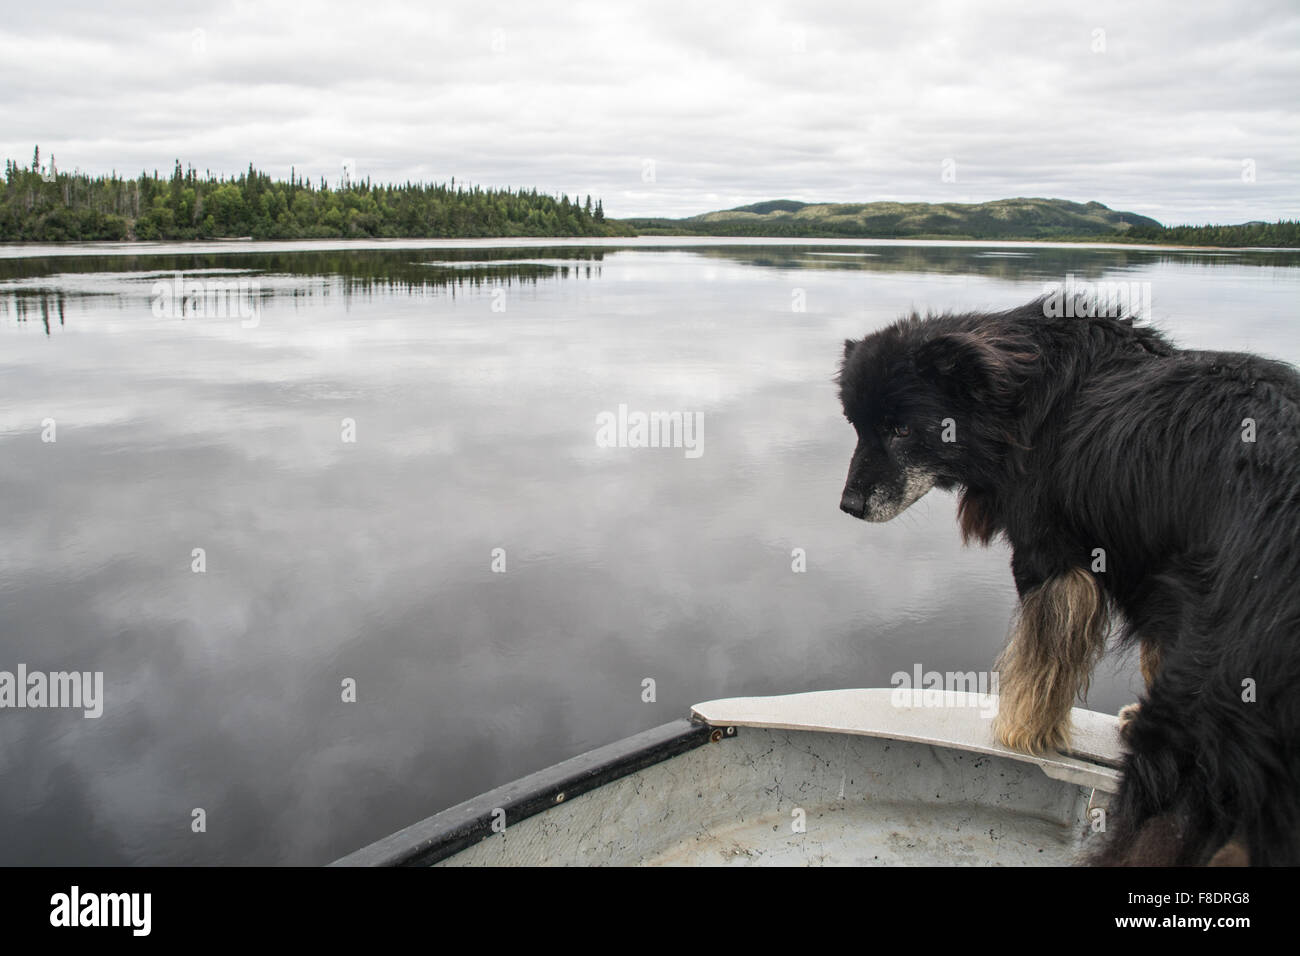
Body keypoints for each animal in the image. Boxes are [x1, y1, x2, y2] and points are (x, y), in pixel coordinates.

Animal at [837, 299, 1300, 868]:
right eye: (857, 427)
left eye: (901, 430)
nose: (848, 506)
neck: (1017, 397)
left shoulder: (1048, 560)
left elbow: (1036, 665)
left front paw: (1018, 733)